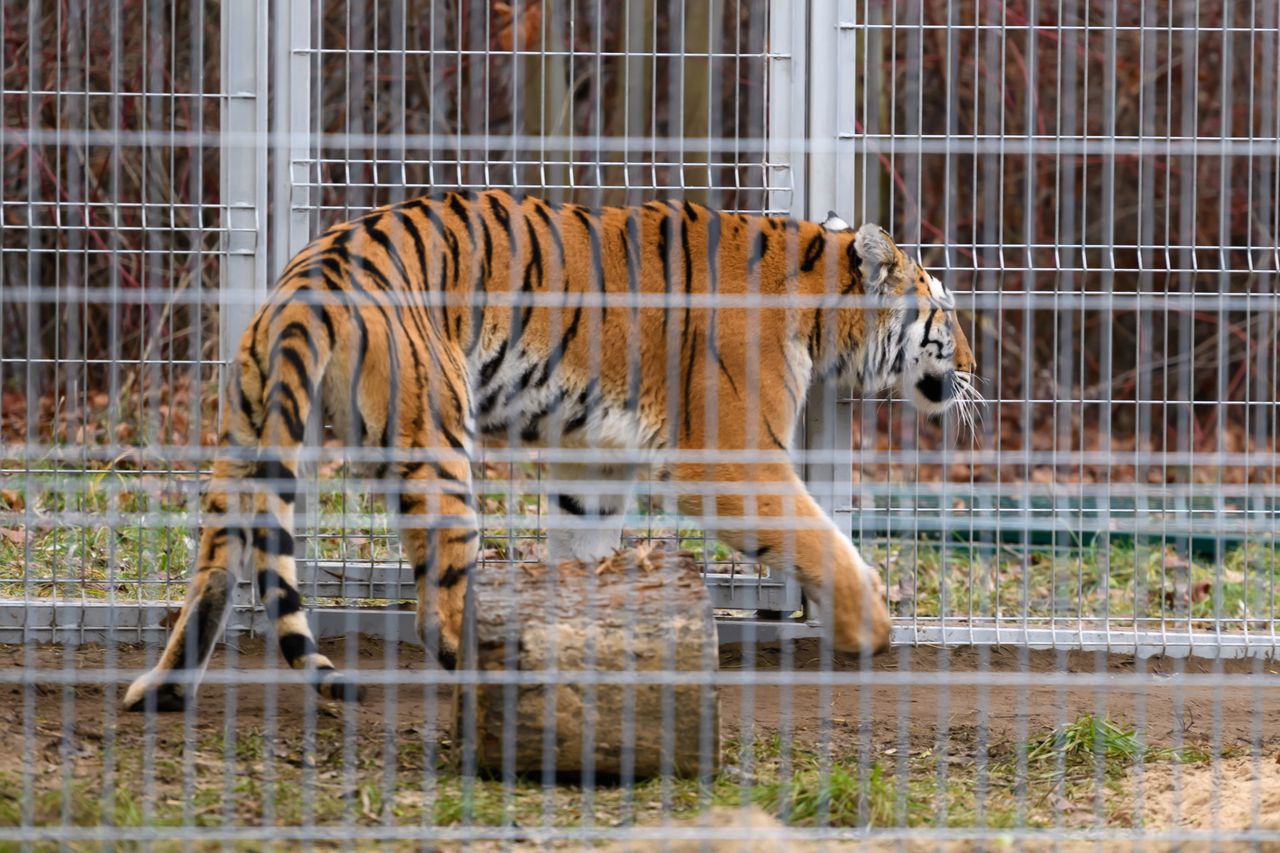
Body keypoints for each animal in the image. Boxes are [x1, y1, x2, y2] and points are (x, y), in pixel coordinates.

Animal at [122, 189, 977, 706]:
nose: (974, 366)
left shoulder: (591, 465)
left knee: (213, 572)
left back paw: (161, 689)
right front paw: (870, 626)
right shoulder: (730, 459)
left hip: (249, 439)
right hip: (440, 444)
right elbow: (818, 538)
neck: (816, 296)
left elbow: (583, 555)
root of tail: (311, 277)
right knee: (438, 606)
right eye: (946, 314)